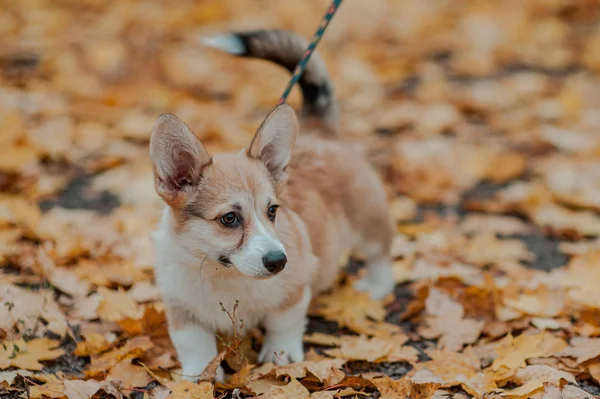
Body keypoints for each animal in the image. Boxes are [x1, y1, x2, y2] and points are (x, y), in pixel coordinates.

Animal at [149, 30, 394, 382]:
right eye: (229, 218)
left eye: (273, 211)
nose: (279, 262)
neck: (222, 273)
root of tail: (321, 132)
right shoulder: (181, 308)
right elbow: (195, 345)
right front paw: (199, 377)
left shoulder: (294, 290)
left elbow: (284, 323)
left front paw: (281, 356)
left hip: (368, 220)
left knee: (380, 253)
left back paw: (376, 286)